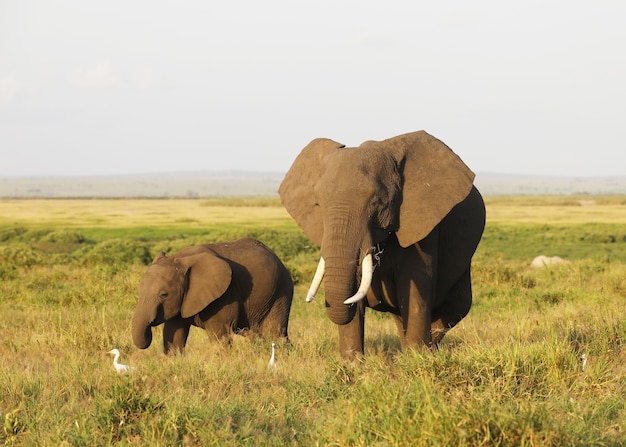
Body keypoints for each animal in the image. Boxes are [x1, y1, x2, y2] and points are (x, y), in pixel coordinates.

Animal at [132, 238, 292, 354]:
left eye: (164, 295)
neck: (179, 260)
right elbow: (173, 336)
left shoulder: (225, 294)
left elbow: (220, 337)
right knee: (256, 335)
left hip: (281, 291)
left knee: (274, 333)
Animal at [280, 130, 486, 360]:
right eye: (318, 204)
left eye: (377, 203)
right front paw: (352, 364)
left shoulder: (423, 224)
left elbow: (415, 289)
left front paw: (416, 360)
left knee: (456, 307)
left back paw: (427, 350)